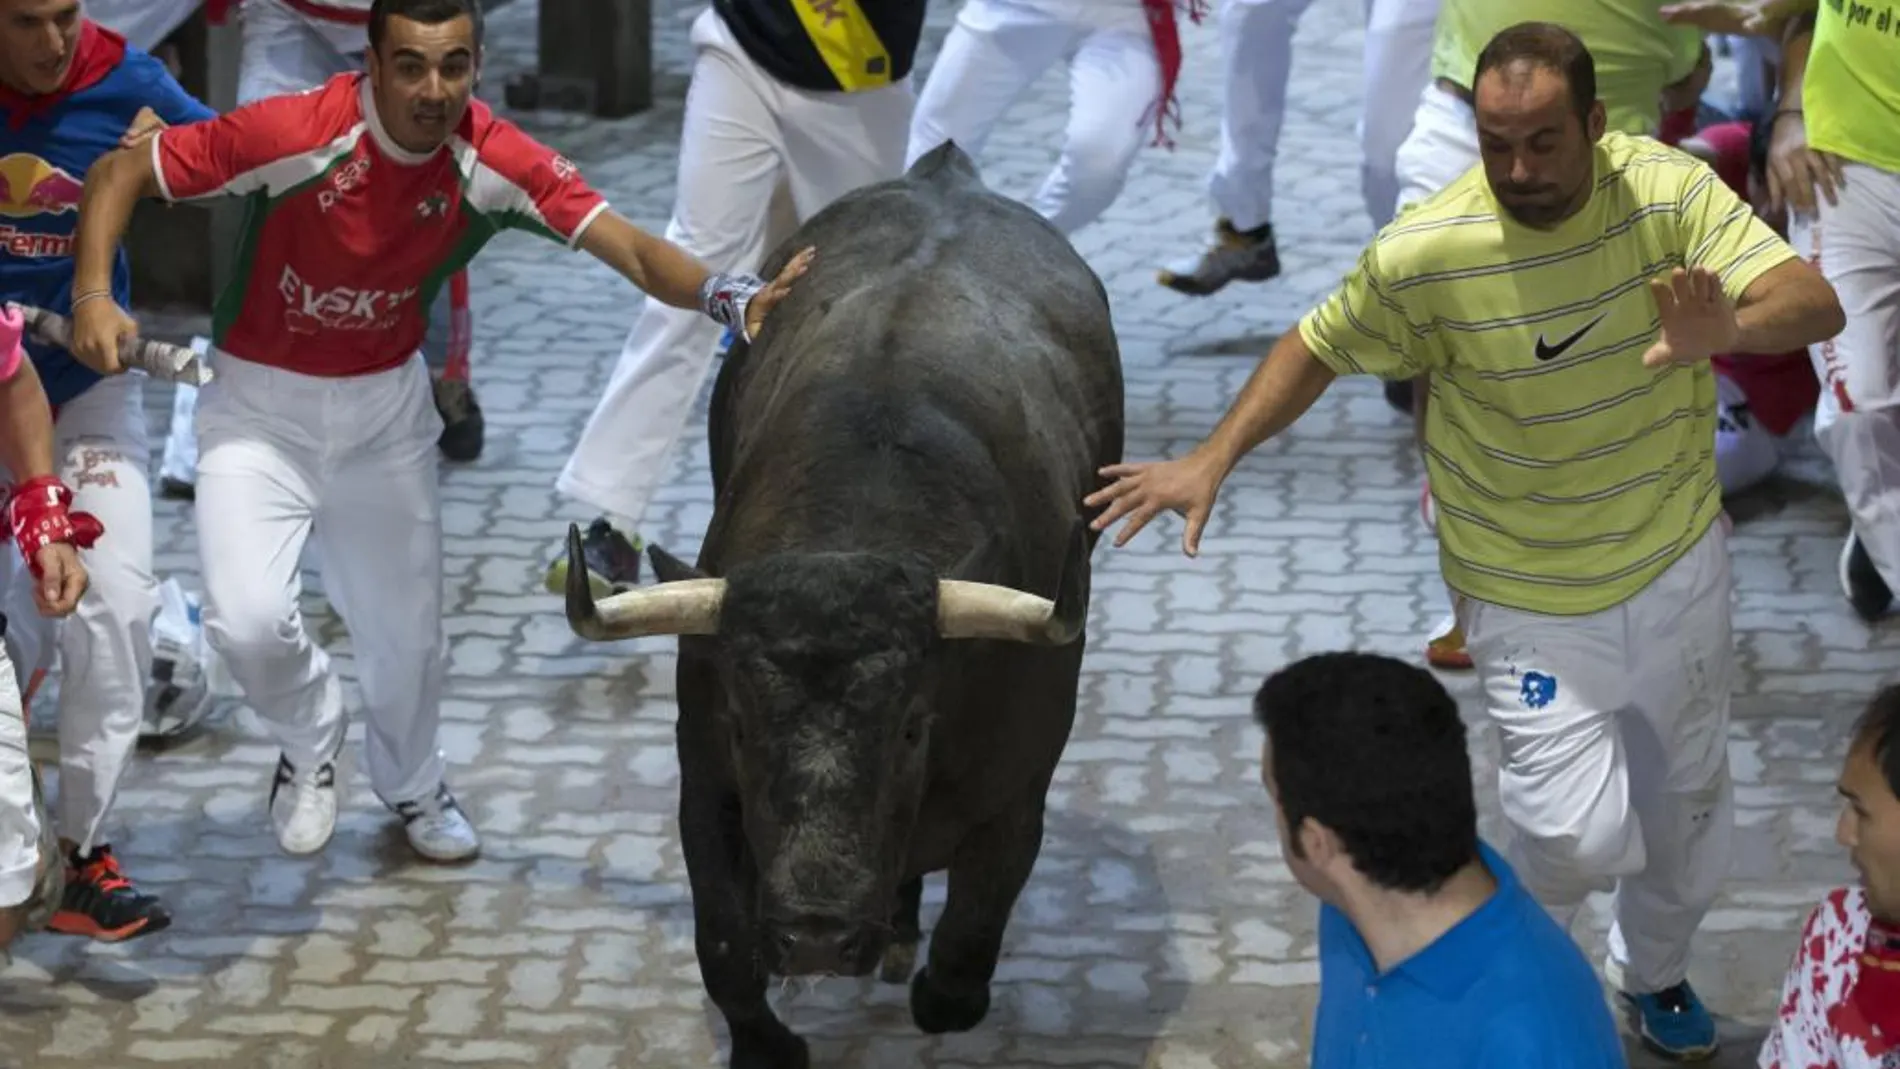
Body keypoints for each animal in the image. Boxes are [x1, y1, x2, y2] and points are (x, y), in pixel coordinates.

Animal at [562, 144, 1124, 1069]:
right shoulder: (705, 780)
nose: (819, 934)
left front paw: (931, 973)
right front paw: (766, 1041)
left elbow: (967, 950)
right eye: (744, 723)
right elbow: (723, 938)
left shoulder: (1017, 792)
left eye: (912, 727)